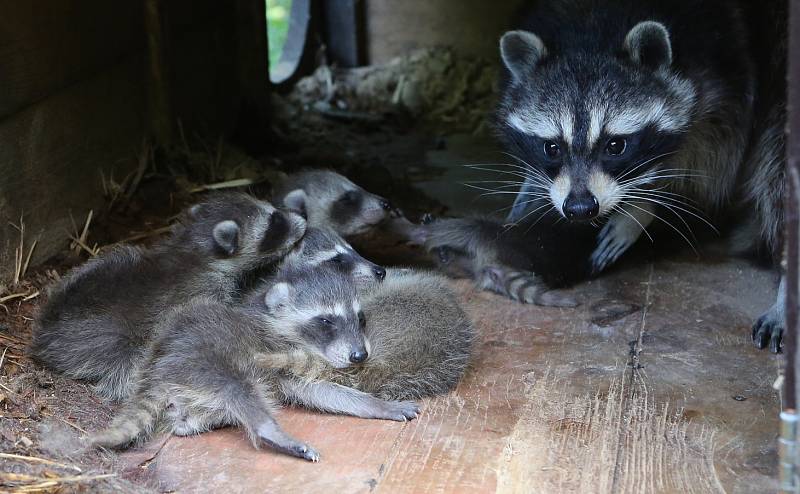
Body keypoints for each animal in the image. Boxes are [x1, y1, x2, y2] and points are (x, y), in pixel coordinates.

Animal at [31, 193, 306, 402]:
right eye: (276, 224)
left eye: (275, 213)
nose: (303, 219)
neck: (195, 249)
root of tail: (47, 331)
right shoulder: (203, 291)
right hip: (103, 339)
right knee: (128, 361)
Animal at [90, 264, 418, 462]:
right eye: (326, 321)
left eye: (360, 319)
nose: (360, 356)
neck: (271, 320)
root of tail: (157, 369)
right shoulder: (276, 356)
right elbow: (316, 390)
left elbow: (321, 392)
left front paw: (377, 404)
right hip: (207, 364)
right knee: (241, 392)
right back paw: (270, 431)